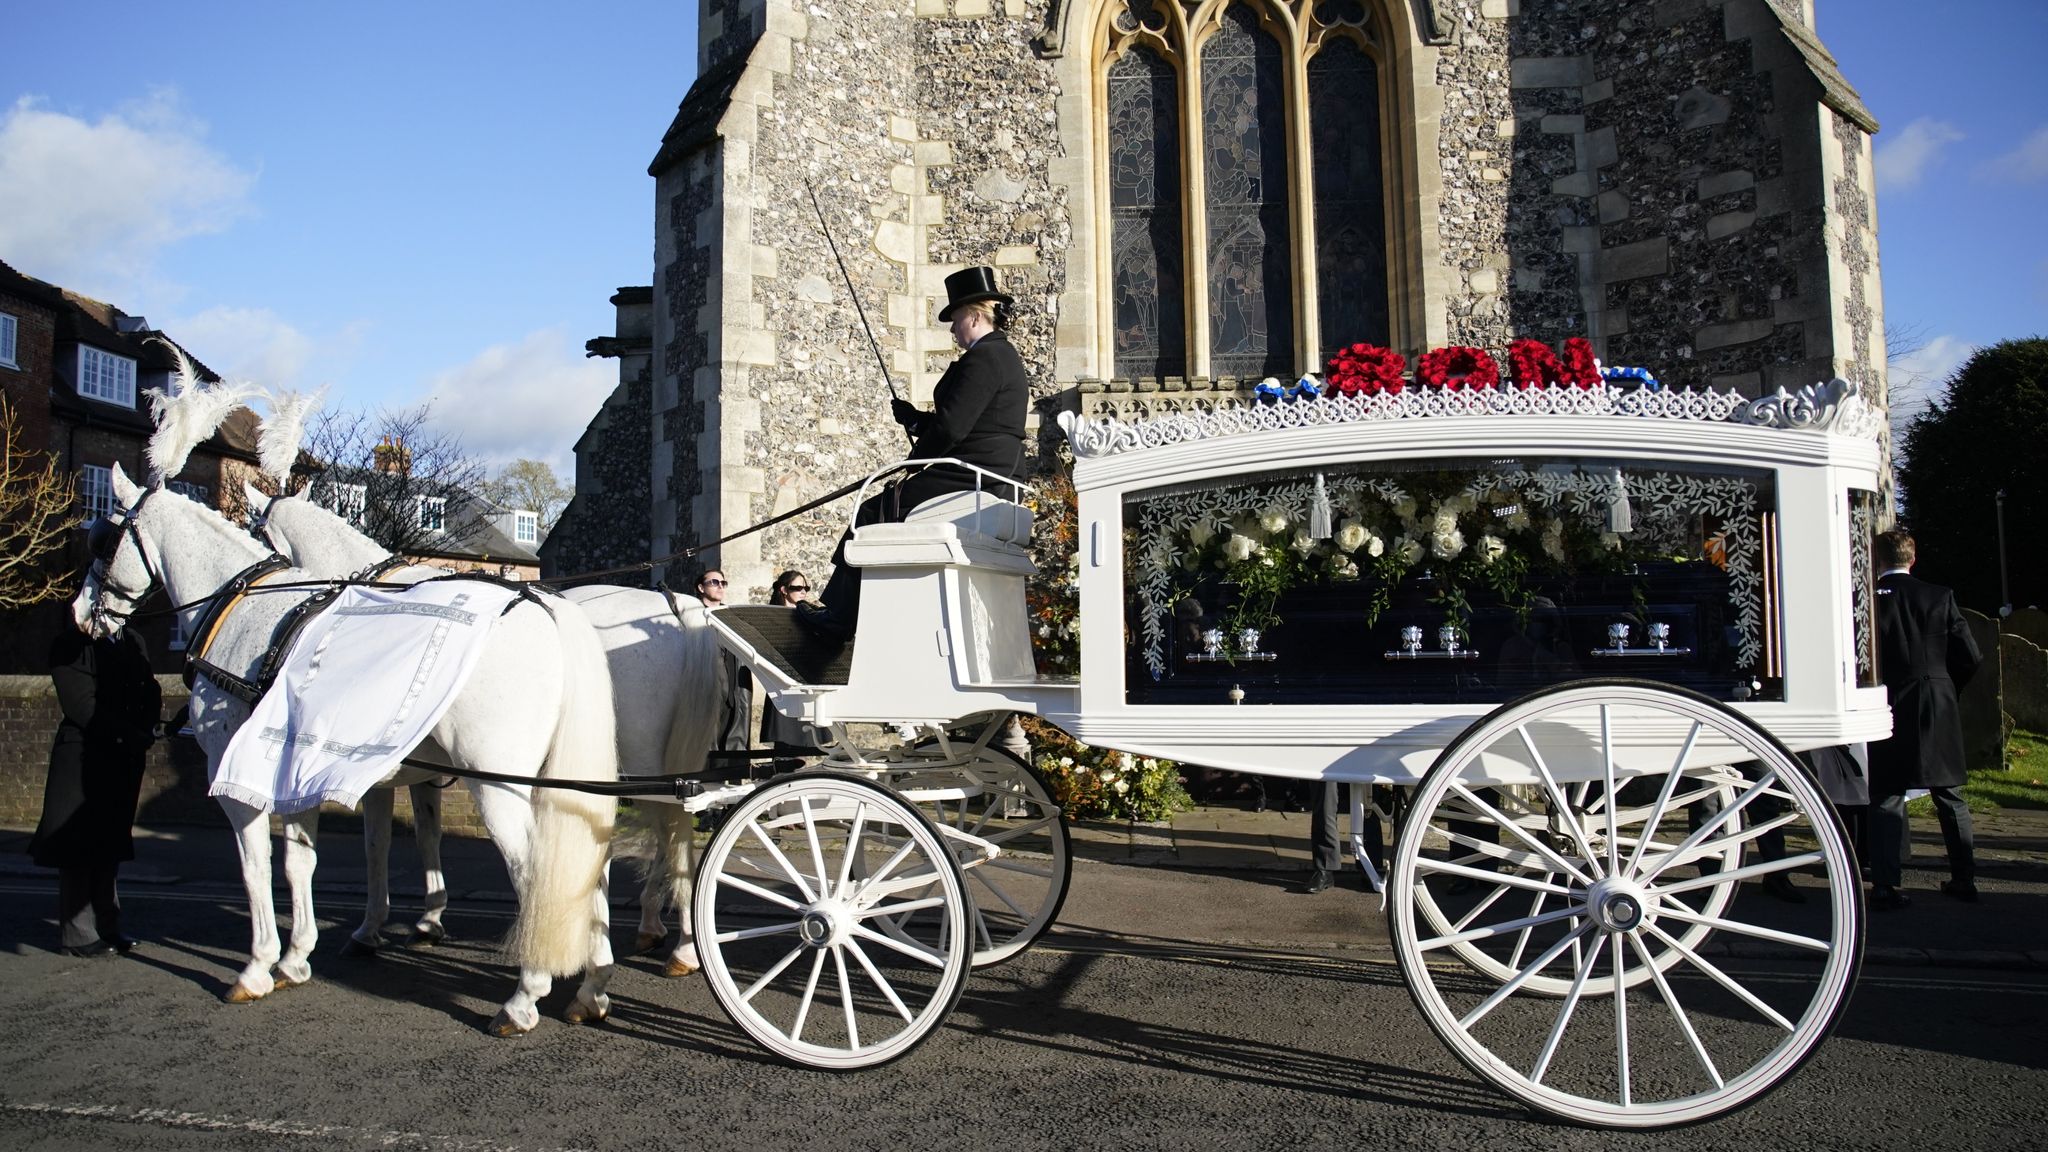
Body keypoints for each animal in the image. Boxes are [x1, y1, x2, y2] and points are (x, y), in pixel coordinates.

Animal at [75, 467, 618, 1033]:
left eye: (103, 539)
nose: (80, 612)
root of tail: (547, 608)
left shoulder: (240, 776)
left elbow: (257, 866)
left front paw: (259, 966)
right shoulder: (327, 772)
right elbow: (324, 856)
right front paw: (307, 953)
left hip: (496, 780)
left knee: (538, 871)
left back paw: (525, 994)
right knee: (588, 860)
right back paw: (593, 985)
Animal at [247, 479, 720, 971]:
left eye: (256, 532)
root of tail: (675, 603)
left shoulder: (380, 771)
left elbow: (381, 842)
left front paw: (376, 926)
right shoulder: (417, 769)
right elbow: (425, 835)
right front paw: (426, 918)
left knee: (665, 829)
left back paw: (670, 936)